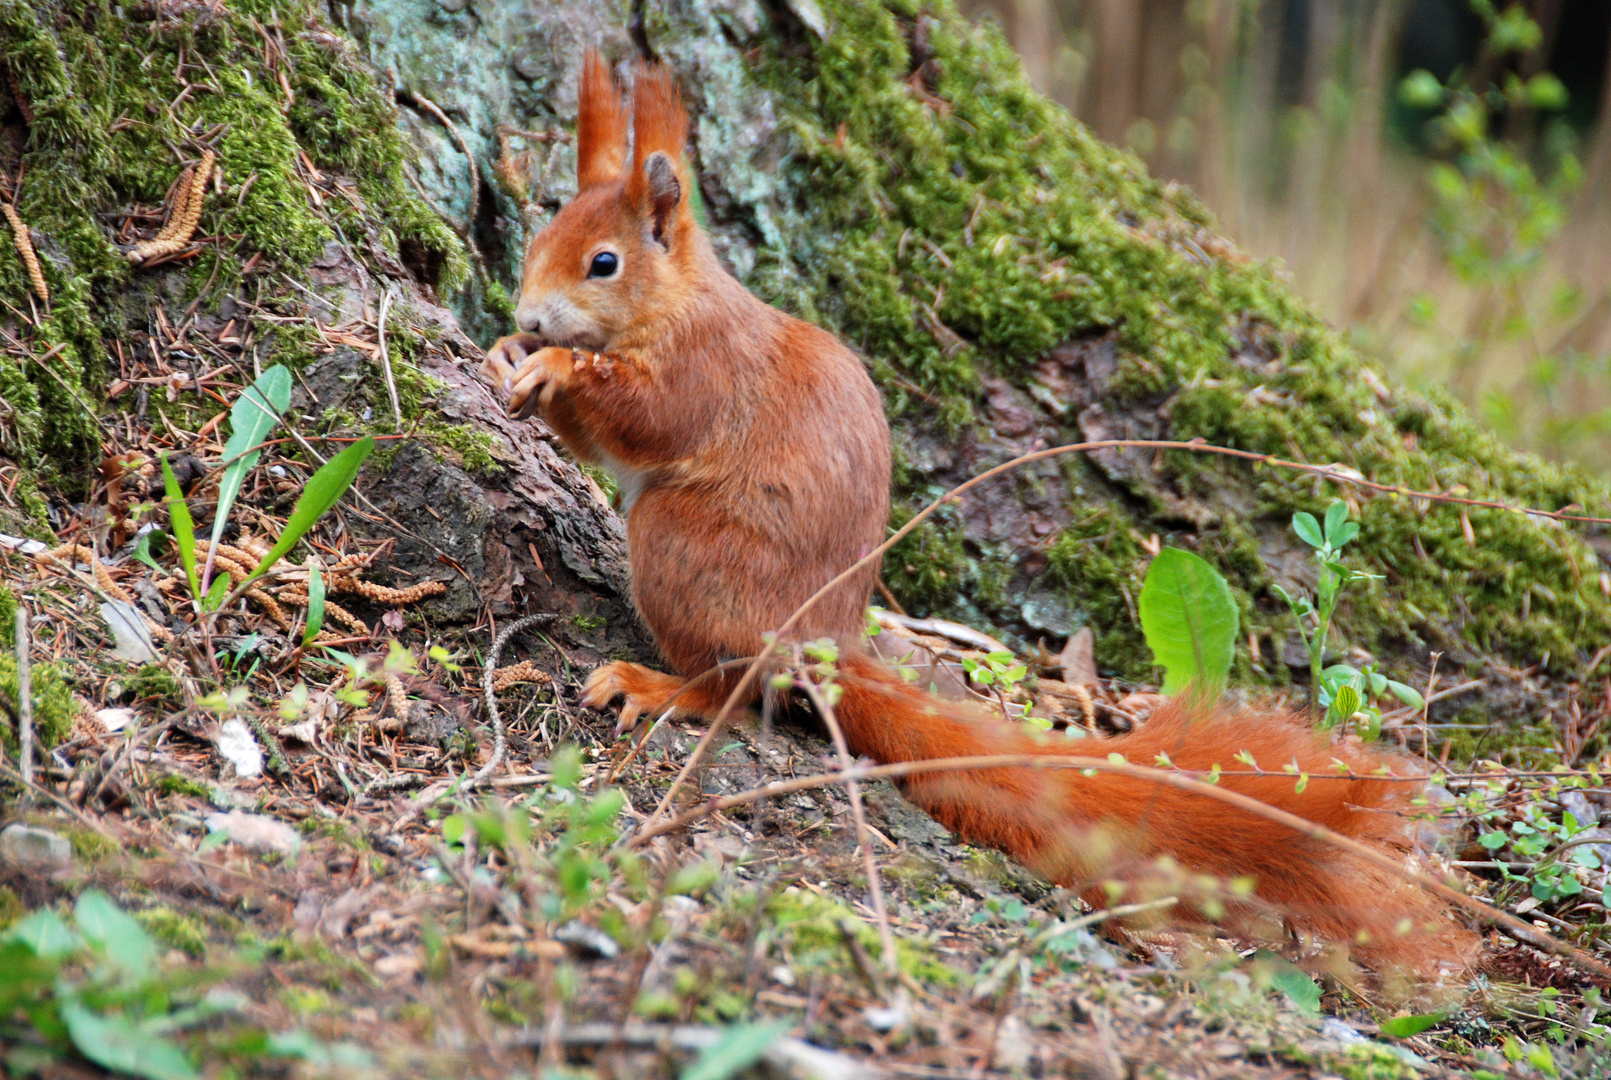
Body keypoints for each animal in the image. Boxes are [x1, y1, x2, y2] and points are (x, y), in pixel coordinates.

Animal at [476, 52, 1475, 980]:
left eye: (604, 263)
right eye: (539, 236)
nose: (529, 313)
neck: (677, 299)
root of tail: (823, 646)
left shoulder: (702, 369)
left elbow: (645, 418)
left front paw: (553, 366)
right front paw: (504, 354)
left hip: (681, 550)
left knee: (734, 687)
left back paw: (660, 688)